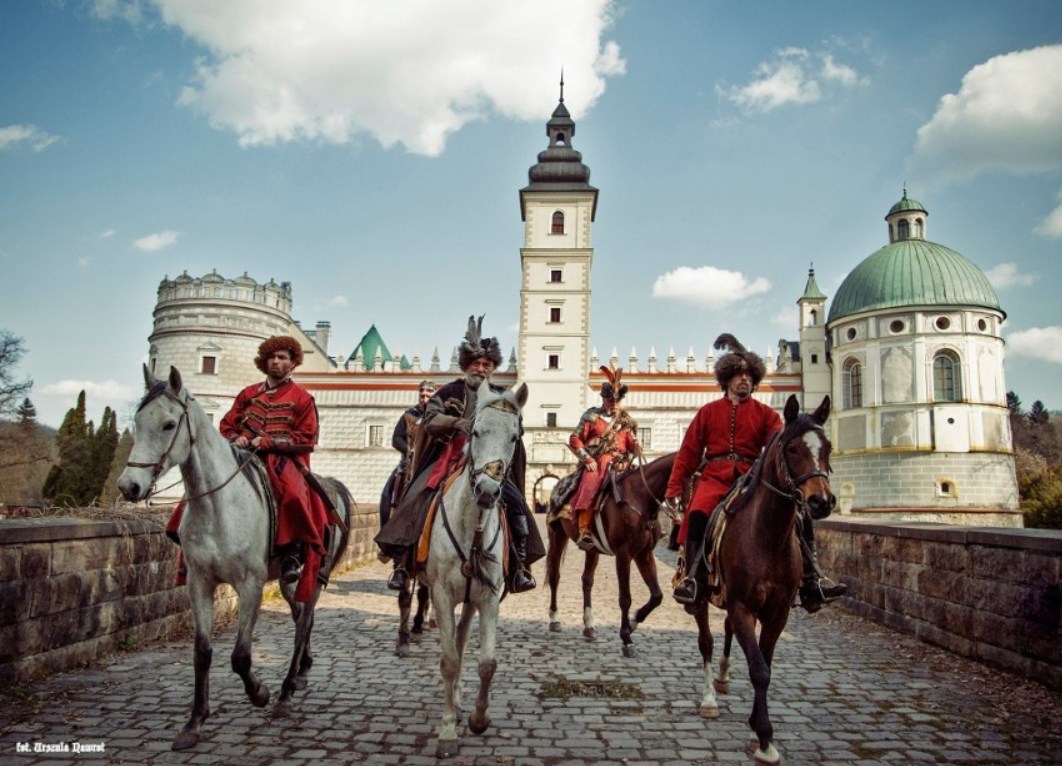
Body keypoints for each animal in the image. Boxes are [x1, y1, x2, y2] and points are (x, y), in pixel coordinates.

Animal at [115, 365, 350, 747]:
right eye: (137, 421)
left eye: (169, 424)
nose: (128, 486)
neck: (217, 505)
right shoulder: (199, 582)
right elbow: (202, 652)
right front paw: (194, 721)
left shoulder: (250, 584)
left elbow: (240, 656)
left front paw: (260, 693)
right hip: (288, 581)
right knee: (303, 618)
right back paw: (301, 672)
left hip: (313, 574)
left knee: (302, 625)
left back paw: (285, 693)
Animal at [418, 382, 526, 760]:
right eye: (476, 431)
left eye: (514, 437)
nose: (488, 492)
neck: (473, 525)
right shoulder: (440, 594)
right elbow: (448, 660)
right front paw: (447, 730)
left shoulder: (488, 596)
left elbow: (487, 663)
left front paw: (480, 718)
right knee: (454, 646)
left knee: (463, 638)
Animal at [543, 450, 675, 654]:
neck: (639, 497)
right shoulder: (623, 554)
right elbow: (625, 598)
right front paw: (626, 637)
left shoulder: (644, 554)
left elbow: (657, 595)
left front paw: (634, 622)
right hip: (558, 536)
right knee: (555, 576)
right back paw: (554, 618)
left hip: (593, 549)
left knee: (587, 580)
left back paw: (589, 625)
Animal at [688, 395, 836, 764]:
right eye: (792, 448)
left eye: (827, 447)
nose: (821, 501)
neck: (767, 535)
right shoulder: (742, 606)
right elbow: (758, 669)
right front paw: (766, 737)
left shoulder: (776, 611)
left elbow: (765, 664)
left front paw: (758, 728)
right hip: (701, 598)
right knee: (706, 641)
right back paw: (709, 698)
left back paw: (724, 678)